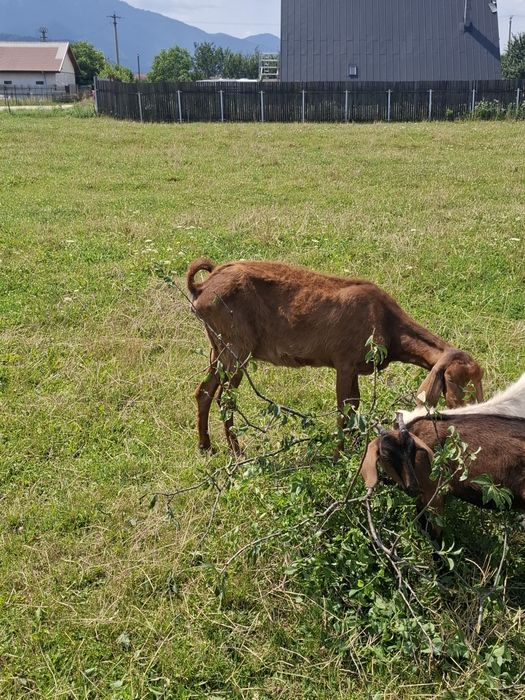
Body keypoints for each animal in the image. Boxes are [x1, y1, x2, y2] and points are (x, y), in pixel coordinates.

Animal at [187, 257, 483, 453]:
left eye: (478, 380)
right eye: (452, 381)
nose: (470, 409)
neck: (385, 320)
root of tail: (201, 288)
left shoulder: (355, 367)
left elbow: (355, 405)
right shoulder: (344, 362)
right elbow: (344, 409)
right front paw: (340, 454)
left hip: (219, 348)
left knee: (204, 391)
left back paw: (206, 446)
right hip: (236, 348)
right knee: (225, 398)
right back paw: (237, 452)